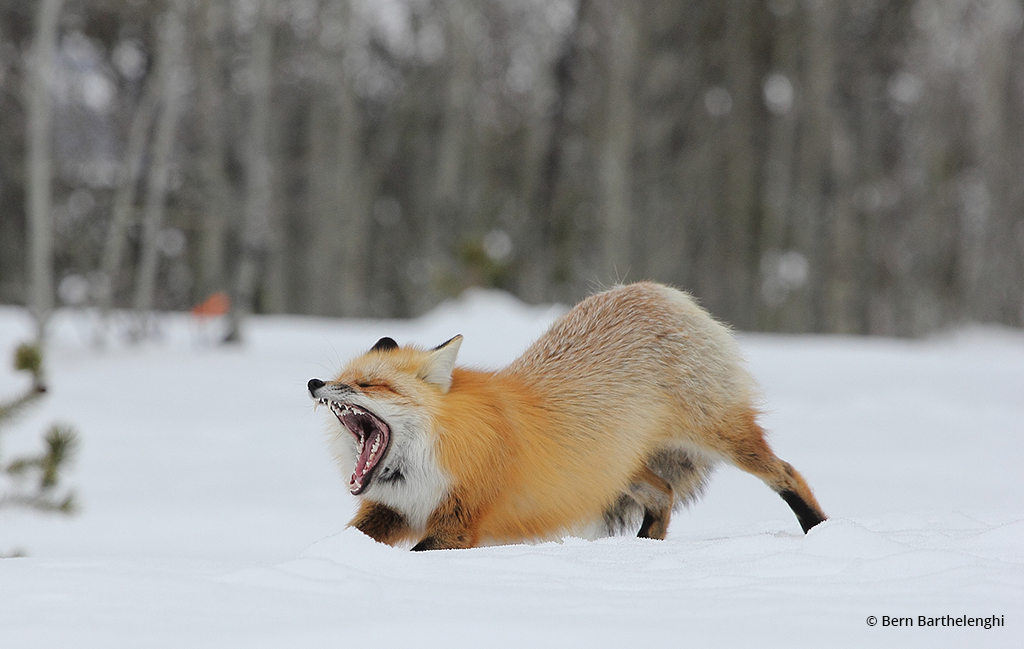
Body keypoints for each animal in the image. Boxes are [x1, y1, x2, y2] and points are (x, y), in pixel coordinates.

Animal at [307, 280, 827, 548]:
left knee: (787, 472)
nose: (314, 384)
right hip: (613, 473)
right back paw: (641, 547)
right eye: (341, 376)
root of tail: (654, 290)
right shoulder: (390, 510)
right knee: (662, 494)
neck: (423, 464)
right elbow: (342, 539)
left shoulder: (459, 521)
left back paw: (819, 531)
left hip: (722, 434)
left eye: (370, 385)